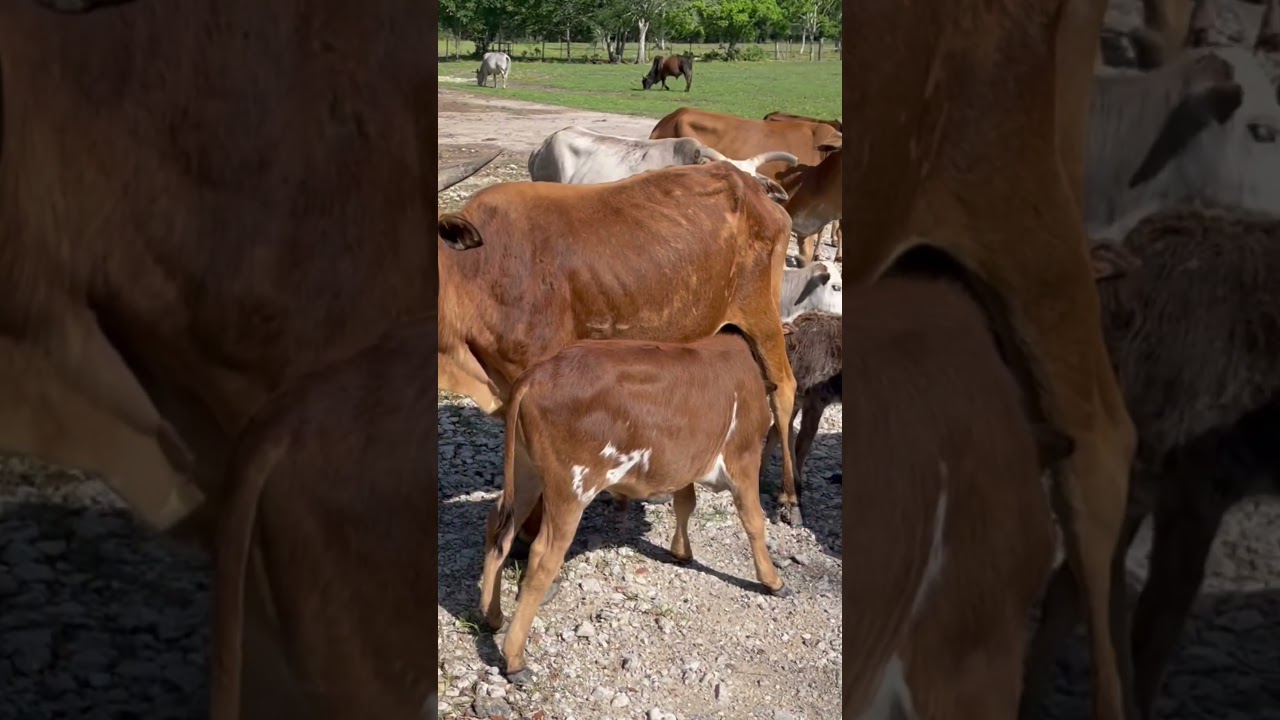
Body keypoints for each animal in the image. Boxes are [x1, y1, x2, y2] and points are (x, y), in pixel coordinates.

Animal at [479, 327, 792, 685]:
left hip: (526, 470)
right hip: (571, 486)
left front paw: (681, 551)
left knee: (499, 525)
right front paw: (772, 580)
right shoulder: (744, 456)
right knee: (543, 555)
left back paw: (492, 614)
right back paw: (515, 658)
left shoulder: (683, 461)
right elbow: (754, 521)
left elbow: (685, 502)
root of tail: (536, 375)